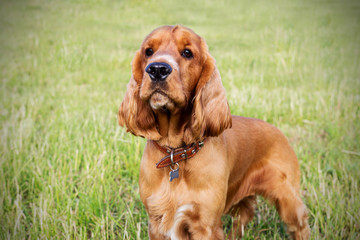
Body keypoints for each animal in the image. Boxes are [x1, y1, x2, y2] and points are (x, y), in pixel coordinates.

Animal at [118, 25, 310, 239]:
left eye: (187, 52)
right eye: (148, 51)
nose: (157, 69)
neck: (176, 152)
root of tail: (279, 131)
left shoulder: (205, 224)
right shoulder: (157, 220)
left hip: (287, 198)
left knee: (299, 224)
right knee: (244, 214)